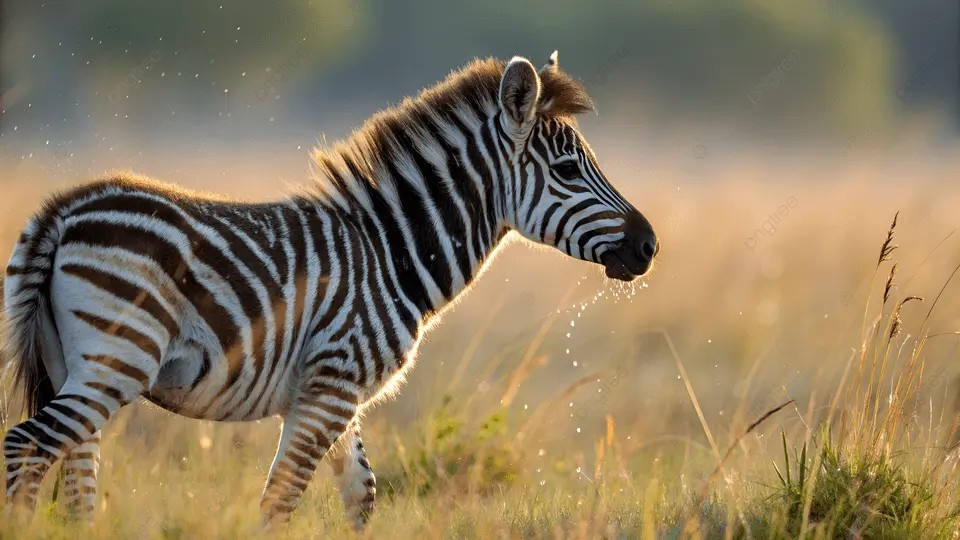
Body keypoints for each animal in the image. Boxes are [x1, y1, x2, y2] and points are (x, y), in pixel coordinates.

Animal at [2, 52, 658, 529]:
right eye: (568, 171)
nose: (650, 246)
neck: (393, 254)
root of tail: (62, 211)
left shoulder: (335, 394)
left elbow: (360, 494)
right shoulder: (333, 387)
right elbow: (281, 499)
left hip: (75, 362)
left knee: (74, 482)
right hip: (119, 357)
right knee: (25, 445)